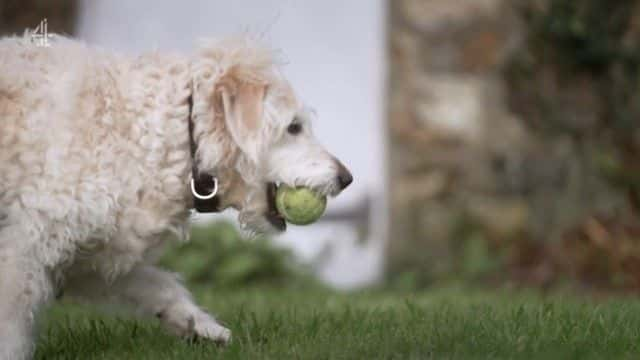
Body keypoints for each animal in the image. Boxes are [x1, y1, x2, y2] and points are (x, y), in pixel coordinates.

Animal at [0, 34, 350, 360]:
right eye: (293, 127)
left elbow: (158, 284)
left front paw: (199, 325)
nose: (347, 178)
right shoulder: (24, 250)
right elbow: (11, 330)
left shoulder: (91, 256)